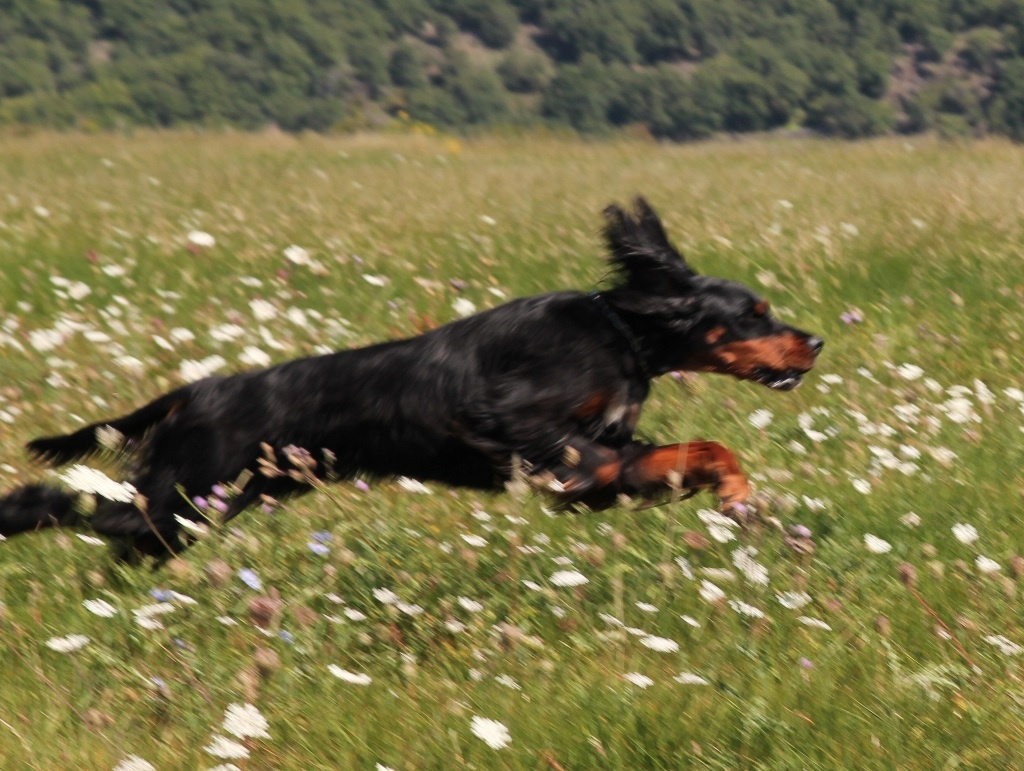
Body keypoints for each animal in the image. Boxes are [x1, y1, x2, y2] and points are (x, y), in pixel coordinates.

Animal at [0, 195, 815, 557]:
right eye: (754, 312)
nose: (814, 341)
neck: (618, 332)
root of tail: (194, 390)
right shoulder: (546, 440)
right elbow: (662, 455)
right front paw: (739, 497)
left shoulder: (604, 459)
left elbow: (700, 454)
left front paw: (741, 500)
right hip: (189, 490)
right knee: (88, 507)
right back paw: (19, 514)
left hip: (220, 498)